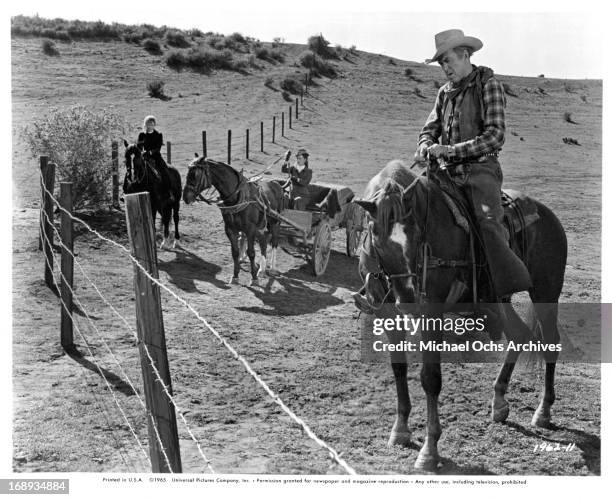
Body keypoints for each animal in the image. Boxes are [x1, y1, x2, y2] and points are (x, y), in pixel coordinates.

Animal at [183, 156, 286, 286]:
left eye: (196, 174)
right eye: (188, 172)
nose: (186, 197)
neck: (237, 198)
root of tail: (276, 184)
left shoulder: (250, 229)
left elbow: (251, 253)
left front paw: (253, 278)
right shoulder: (230, 229)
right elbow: (235, 252)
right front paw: (235, 276)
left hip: (274, 222)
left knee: (274, 241)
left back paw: (272, 268)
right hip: (261, 226)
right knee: (263, 242)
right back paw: (262, 270)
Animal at [356, 161, 568, 472]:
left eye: (417, 231)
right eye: (375, 235)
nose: (408, 298)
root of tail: (549, 216)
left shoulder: (431, 311)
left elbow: (430, 378)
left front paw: (429, 452)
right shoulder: (386, 312)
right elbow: (398, 368)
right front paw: (400, 430)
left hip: (546, 291)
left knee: (551, 341)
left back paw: (543, 412)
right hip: (501, 299)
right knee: (519, 336)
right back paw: (499, 402)